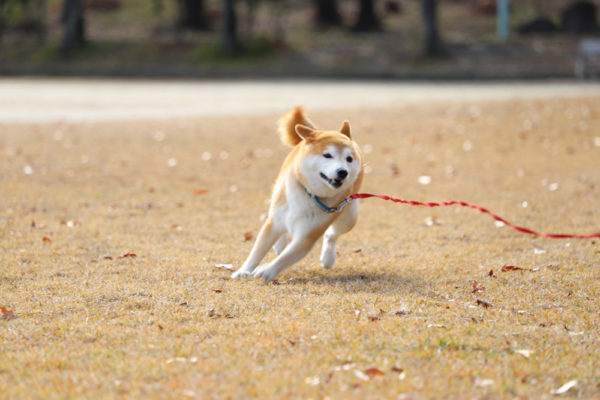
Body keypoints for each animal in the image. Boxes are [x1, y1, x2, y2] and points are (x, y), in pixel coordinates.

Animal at [231, 106, 364, 282]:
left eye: (349, 159)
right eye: (327, 155)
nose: (343, 172)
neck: (309, 193)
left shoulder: (307, 235)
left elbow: (285, 258)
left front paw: (266, 271)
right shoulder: (275, 221)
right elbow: (257, 251)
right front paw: (243, 270)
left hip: (348, 217)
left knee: (331, 235)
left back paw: (327, 257)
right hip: (277, 197)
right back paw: (279, 243)